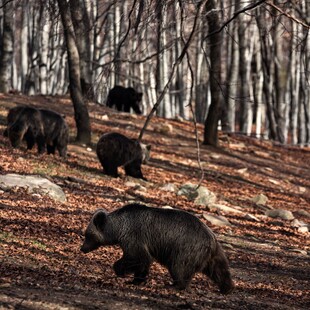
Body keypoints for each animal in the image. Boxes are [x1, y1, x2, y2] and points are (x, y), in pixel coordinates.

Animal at [80, 203, 235, 294]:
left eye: (88, 235)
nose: (82, 248)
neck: (118, 228)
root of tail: (212, 238)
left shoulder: (134, 236)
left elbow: (137, 257)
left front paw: (121, 271)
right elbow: (143, 262)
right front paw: (137, 279)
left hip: (186, 248)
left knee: (179, 267)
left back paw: (174, 285)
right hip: (213, 255)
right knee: (219, 270)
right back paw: (226, 288)